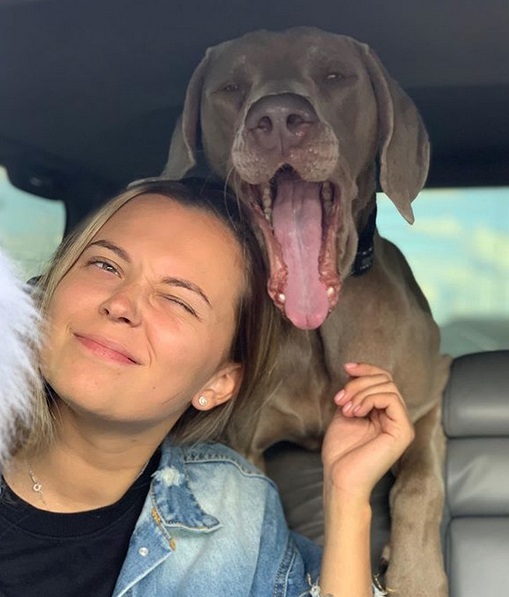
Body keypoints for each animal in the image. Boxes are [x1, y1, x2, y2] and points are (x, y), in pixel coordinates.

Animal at [161, 25, 450, 592]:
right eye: (230, 87)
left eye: (336, 75)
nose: (277, 118)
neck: (317, 330)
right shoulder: (246, 441)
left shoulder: (427, 395)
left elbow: (420, 483)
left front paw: (417, 575)